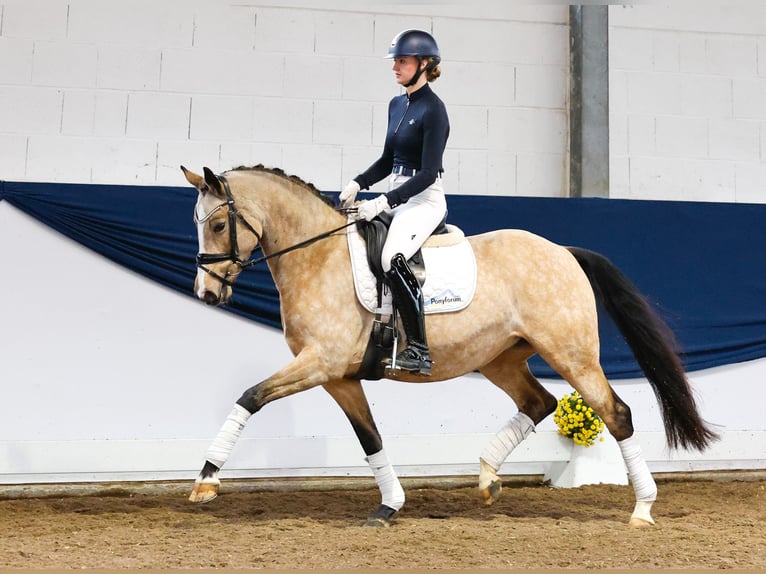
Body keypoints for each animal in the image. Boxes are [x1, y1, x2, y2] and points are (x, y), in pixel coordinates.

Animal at [180, 164, 720, 528]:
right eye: (197, 223)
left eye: (220, 225)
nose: (206, 294)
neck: (318, 256)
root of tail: (563, 252)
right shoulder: (338, 376)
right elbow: (370, 438)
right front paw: (389, 506)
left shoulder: (319, 364)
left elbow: (250, 397)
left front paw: (206, 481)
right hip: (502, 358)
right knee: (539, 402)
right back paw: (487, 478)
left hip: (572, 354)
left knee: (615, 413)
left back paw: (642, 509)